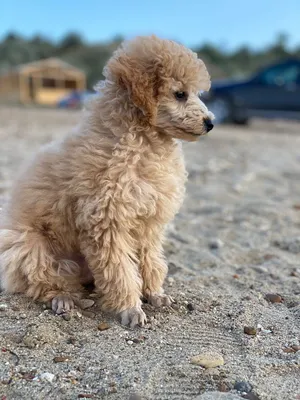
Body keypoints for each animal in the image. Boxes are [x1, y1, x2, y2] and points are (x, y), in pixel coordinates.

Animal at [0, 36, 213, 326]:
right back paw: (63, 298)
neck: (140, 140)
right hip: (24, 245)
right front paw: (130, 308)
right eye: (180, 94)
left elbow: (151, 260)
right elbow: (120, 269)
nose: (210, 123)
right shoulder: (107, 221)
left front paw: (154, 294)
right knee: (43, 280)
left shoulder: (148, 222)